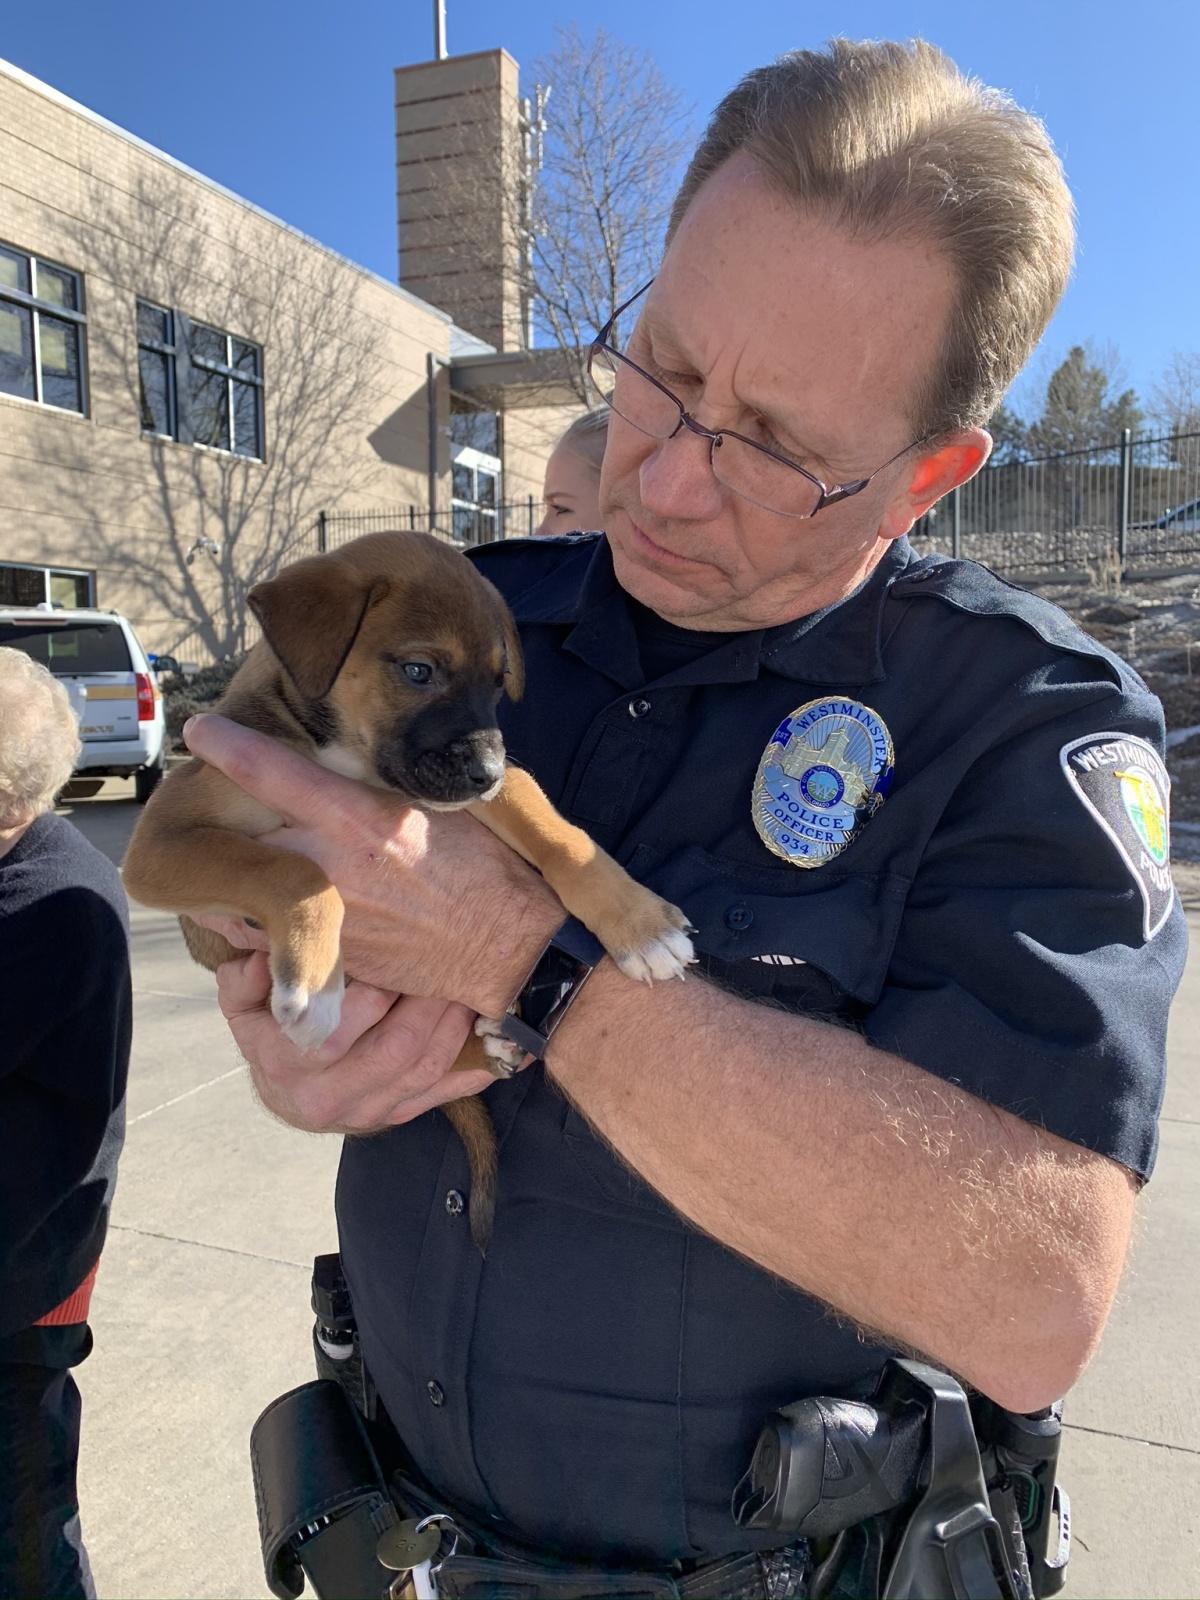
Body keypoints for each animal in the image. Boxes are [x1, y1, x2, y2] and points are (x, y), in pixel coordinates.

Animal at [124, 531, 694, 1241]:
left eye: (498, 683)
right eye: (420, 671)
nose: (486, 773)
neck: (346, 755)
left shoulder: (489, 790)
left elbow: (560, 835)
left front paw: (642, 927)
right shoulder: (158, 843)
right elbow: (296, 870)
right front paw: (317, 982)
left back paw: (495, 1047)